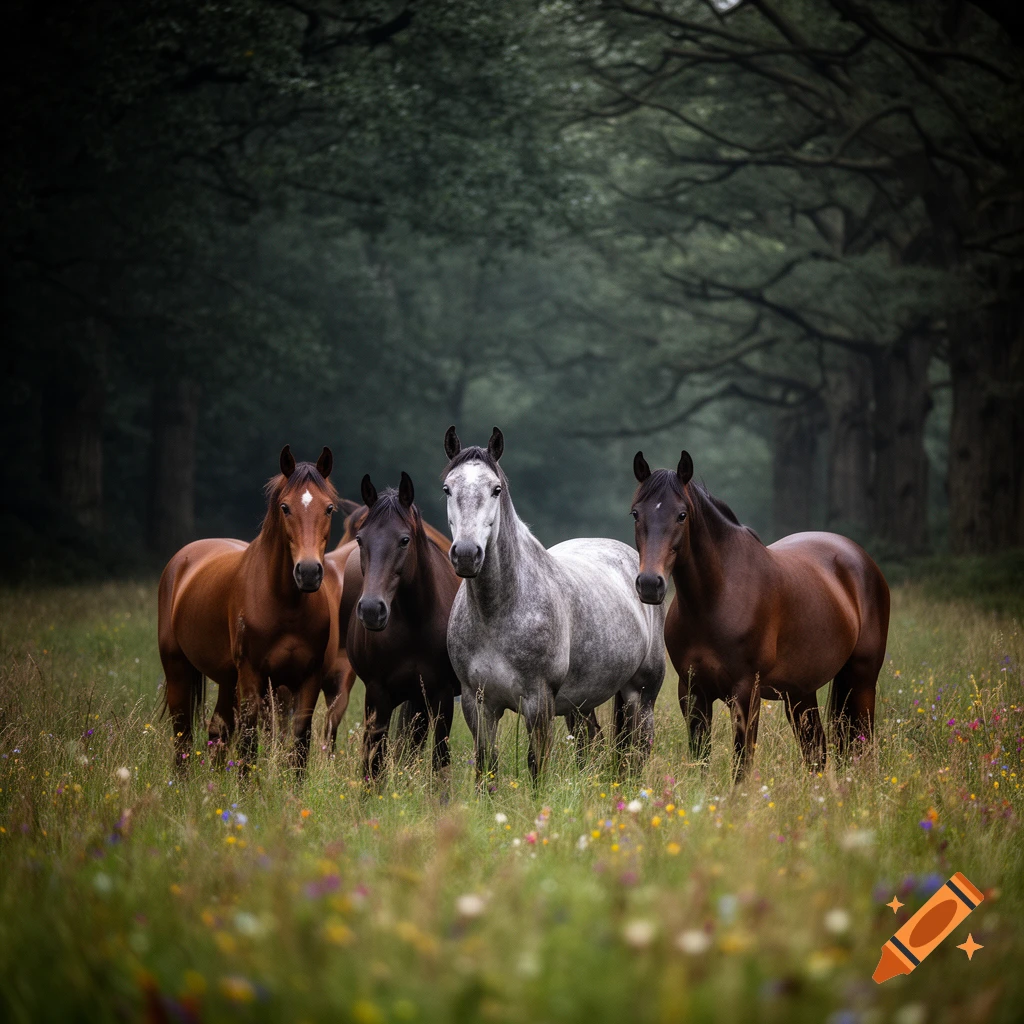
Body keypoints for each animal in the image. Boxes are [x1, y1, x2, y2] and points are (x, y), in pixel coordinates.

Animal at [157, 446, 346, 771]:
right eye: (285, 507)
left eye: (329, 508)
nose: (309, 572)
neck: (285, 604)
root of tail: (181, 560)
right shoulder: (252, 677)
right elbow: (248, 743)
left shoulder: (307, 679)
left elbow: (299, 744)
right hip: (178, 669)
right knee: (183, 737)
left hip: (226, 680)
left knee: (217, 732)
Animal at [337, 471, 462, 780]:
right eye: (360, 539)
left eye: (404, 540)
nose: (372, 610)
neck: (415, 622)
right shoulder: (377, 695)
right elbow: (374, 766)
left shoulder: (441, 696)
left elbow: (439, 763)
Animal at [443, 426, 667, 784]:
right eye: (448, 488)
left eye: (495, 489)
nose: (466, 554)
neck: (497, 613)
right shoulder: (476, 703)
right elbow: (486, 766)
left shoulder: (539, 702)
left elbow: (537, 764)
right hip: (582, 703)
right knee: (592, 744)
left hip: (641, 694)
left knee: (637, 752)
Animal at [630, 449, 890, 781]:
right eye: (636, 514)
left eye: (682, 515)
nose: (650, 584)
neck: (717, 598)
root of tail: (859, 557)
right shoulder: (692, 693)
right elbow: (701, 759)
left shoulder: (745, 694)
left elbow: (742, 764)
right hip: (800, 693)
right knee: (816, 753)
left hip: (862, 681)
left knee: (860, 745)